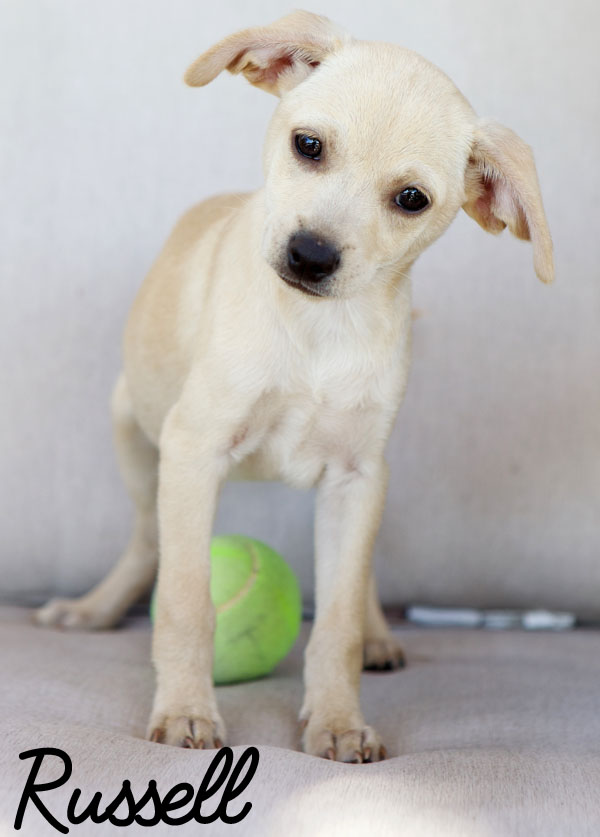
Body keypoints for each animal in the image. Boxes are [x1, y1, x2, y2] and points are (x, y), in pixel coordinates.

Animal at [36, 11, 552, 764]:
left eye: (411, 199)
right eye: (308, 145)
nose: (311, 255)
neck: (319, 333)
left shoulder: (356, 475)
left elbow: (334, 620)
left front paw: (337, 720)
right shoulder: (194, 447)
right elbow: (186, 601)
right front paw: (186, 710)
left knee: (354, 577)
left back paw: (377, 634)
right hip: (132, 427)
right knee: (149, 540)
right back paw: (95, 607)